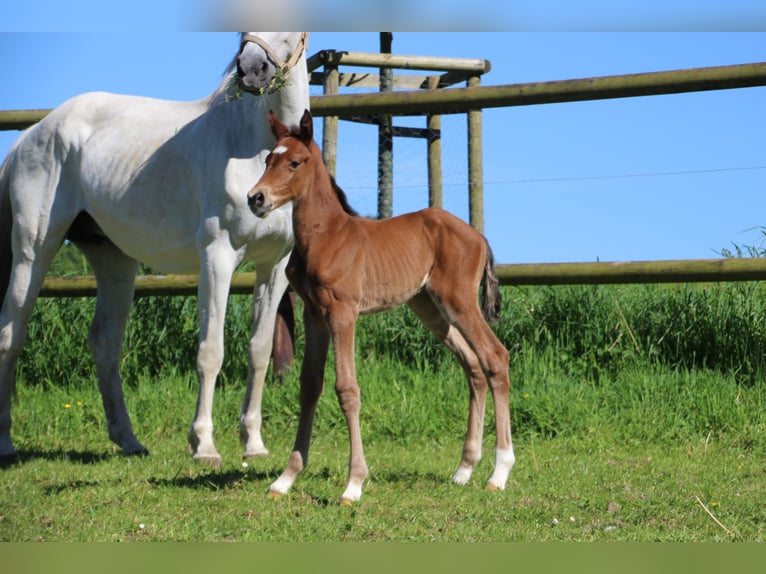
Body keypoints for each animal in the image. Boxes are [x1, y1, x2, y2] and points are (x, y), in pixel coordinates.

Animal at [1, 32, 312, 468]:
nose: (251, 69)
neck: (253, 147)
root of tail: (30, 134)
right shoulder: (217, 257)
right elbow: (211, 351)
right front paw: (204, 446)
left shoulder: (274, 265)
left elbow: (260, 351)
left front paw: (253, 443)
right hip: (33, 251)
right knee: (11, 334)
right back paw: (5, 444)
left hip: (113, 259)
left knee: (105, 342)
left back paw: (128, 440)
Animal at [249, 110, 520, 506]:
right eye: (268, 159)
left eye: (294, 163)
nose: (255, 198)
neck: (325, 236)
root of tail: (477, 236)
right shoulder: (314, 314)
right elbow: (309, 385)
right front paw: (285, 479)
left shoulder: (342, 313)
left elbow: (347, 389)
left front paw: (354, 483)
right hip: (431, 310)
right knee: (473, 366)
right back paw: (464, 470)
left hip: (459, 302)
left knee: (495, 357)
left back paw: (499, 473)